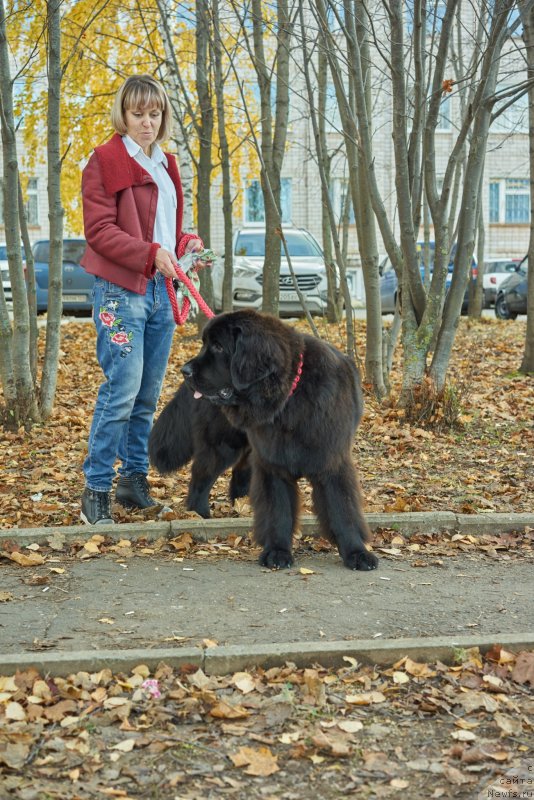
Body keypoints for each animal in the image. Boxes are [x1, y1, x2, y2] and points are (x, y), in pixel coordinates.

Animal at [149, 310, 378, 572]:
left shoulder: (331, 461)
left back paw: (239, 501)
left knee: (239, 471)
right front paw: (277, 551)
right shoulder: (274, 466)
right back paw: (199, 513)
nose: (185, 370)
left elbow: (342, 509)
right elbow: (278, 511)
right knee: (201, 477)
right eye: (205, 343)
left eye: (218, 346)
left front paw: (356, 552)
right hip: (223, 445)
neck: (287, 399)